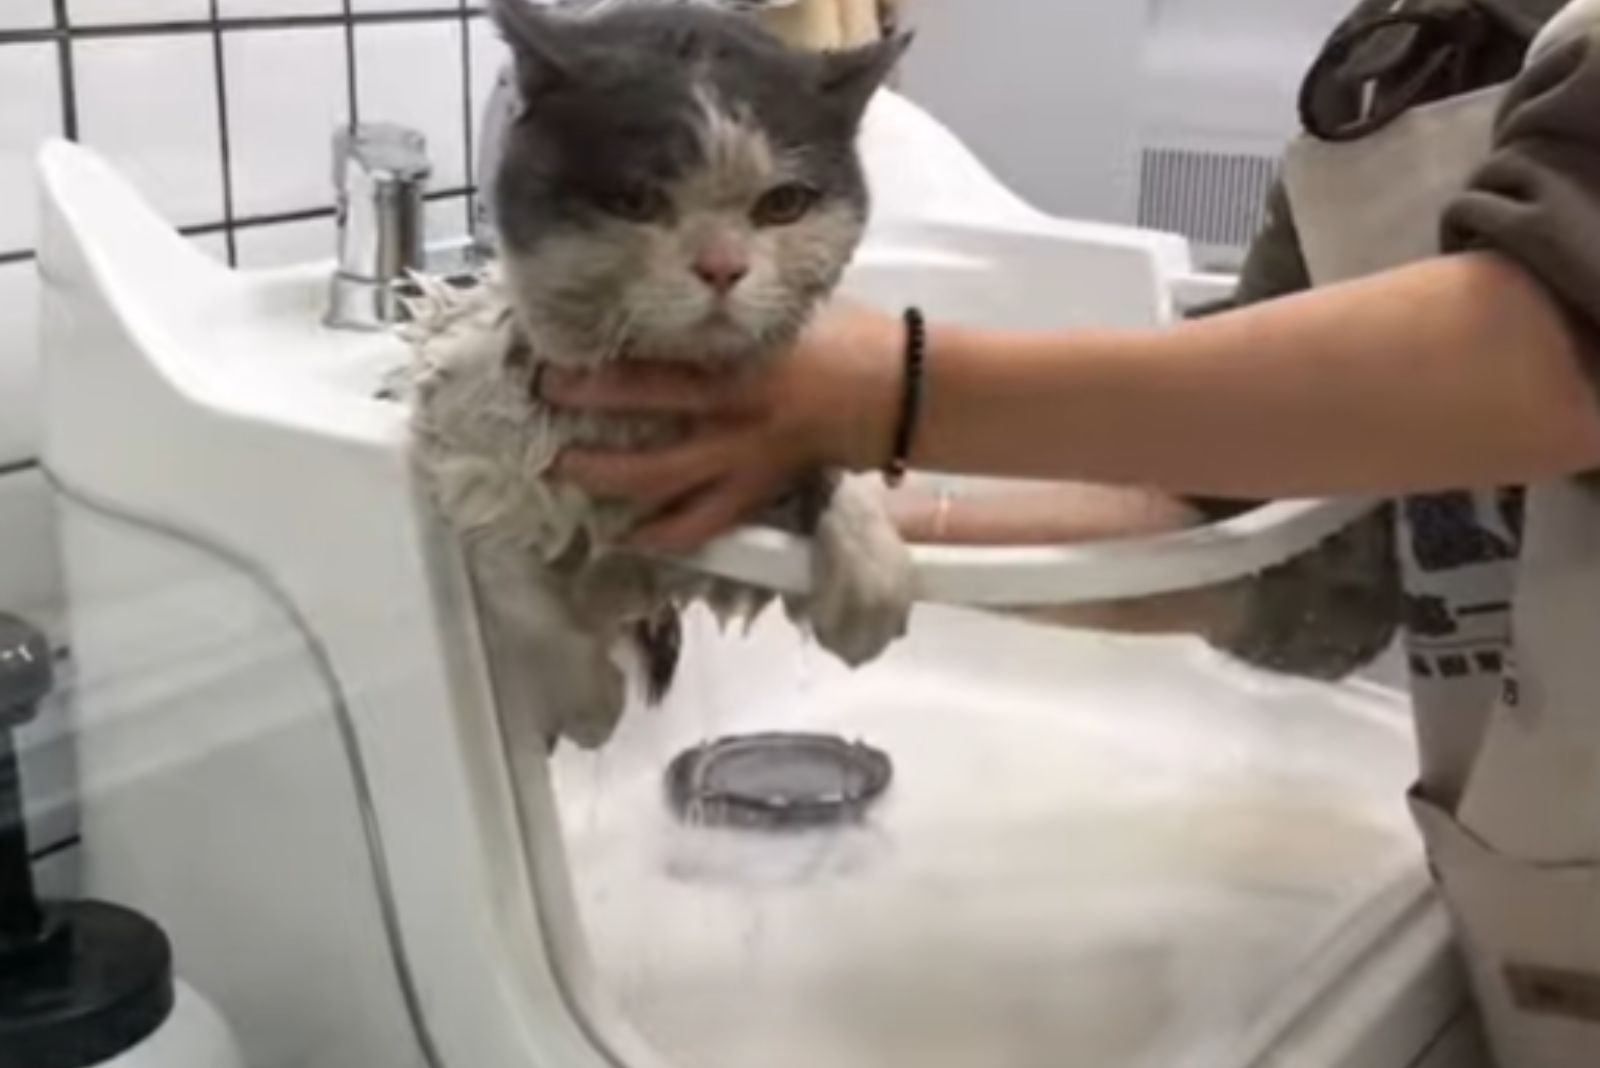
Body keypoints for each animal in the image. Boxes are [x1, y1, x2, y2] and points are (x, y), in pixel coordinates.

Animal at [395, 0, 921, 751]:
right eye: (637, 200)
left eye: (783, 204)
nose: (724, 267)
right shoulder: (462, 429)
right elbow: (503, 558)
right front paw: (585, 700)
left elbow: (832, 468)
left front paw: (871, 574)